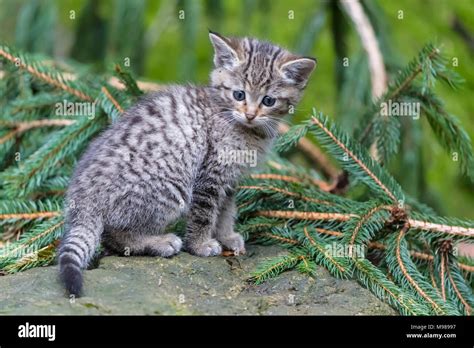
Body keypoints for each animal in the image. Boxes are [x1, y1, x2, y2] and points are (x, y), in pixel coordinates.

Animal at [61, 31, 316, 294]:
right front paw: (201, 245)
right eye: (239, 94)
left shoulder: (230, 179)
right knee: (116, 235)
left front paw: (227, 236)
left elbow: (226, 210)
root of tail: (82, 200)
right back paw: (159, 242)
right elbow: (204, 214)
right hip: (171, 188)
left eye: (268, 101)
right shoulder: (211, 173)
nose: (250, 114)